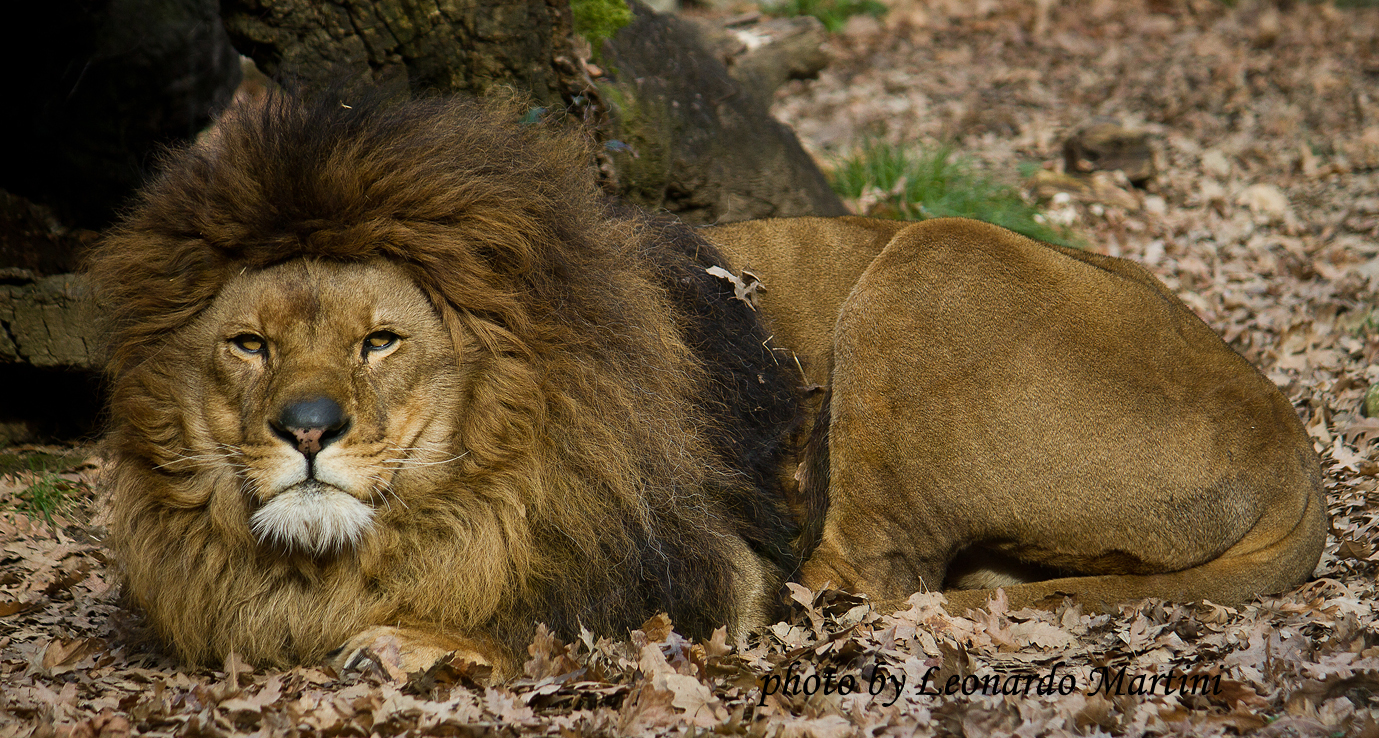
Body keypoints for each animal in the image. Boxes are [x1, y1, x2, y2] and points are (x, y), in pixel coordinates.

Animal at [88, 90, 1325, 680]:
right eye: (249, 345)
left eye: (379, 341)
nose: (307, 429)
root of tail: (1289, 439)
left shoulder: (698, 562)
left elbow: (573, 612)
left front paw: (406, 645)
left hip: (932, 259)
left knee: (858, 580)